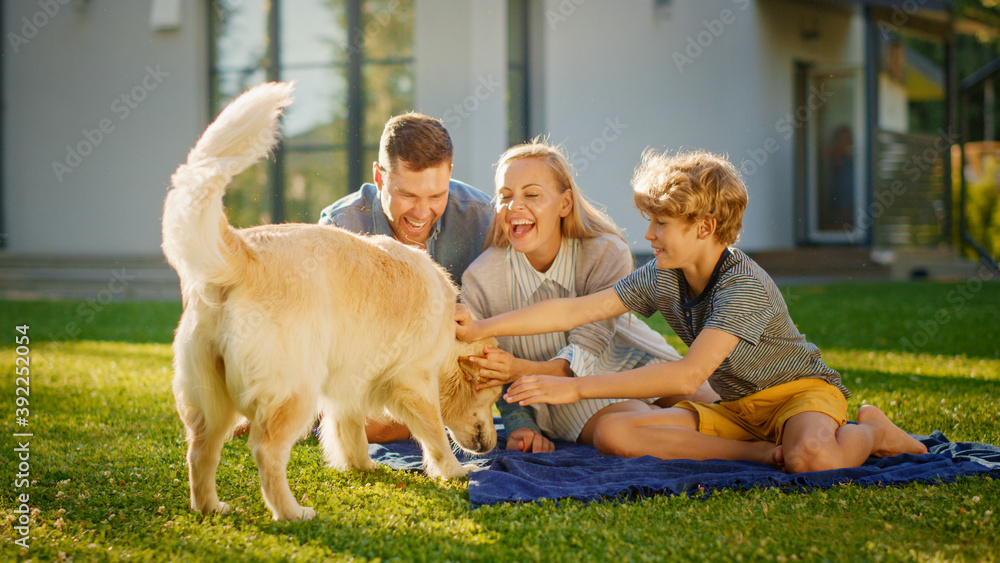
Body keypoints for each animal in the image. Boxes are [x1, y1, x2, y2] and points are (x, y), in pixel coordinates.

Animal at [164, 81, 504, 524]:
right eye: (492, 397)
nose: (492, 445)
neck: (449, 328)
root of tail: (245, 251)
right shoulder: (413, 381)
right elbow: (433, 433)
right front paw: (454, 471)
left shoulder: (350, 381)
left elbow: (350, 428)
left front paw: (361, 465)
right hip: (293, 390)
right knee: (265, 449)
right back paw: (291, 512)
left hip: (211, 396)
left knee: (201, 449)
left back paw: (211, 506)